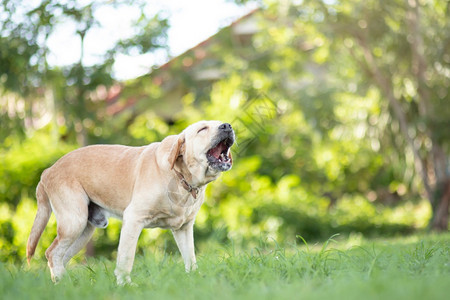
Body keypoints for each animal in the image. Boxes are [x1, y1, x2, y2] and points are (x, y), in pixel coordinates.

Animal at [26, 120, 236, 284]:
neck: (180, 177)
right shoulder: (133, 219)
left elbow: (190, 258)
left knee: (59, 257)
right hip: (73, 223)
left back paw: (65, 285)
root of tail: (47, 171)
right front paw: (125, 285)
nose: (227, 126)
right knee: (52, 253)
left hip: (83, 231)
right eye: (202, 129)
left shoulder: (183, 228)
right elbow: (126, 258)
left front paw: (195, 278)